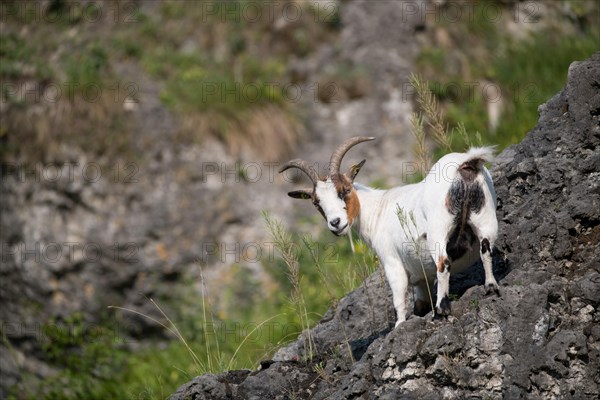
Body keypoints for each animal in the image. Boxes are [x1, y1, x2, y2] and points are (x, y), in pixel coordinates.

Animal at [278, 138, 500, 328]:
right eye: (317, 203)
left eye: (345, 190)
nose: (335, 223)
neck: (378, 209)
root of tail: (464, 164)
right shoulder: (420, 275)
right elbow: (420, 298)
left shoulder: (391, 259)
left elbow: (399, 293)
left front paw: (399, 324)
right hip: (486, 216)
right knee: (486, 248)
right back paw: (491, 287)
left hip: (439, 230)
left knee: (443, 263)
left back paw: (441, 311)